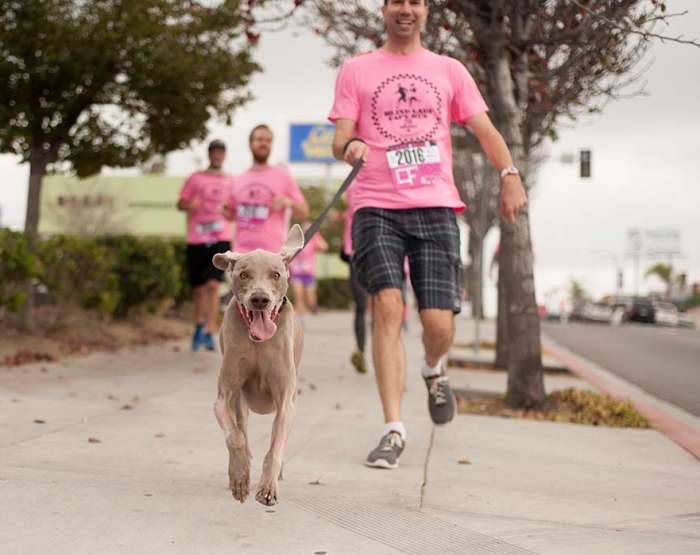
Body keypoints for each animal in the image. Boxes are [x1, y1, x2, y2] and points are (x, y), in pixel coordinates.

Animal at [211, 224, 304, 506]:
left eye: (275, 274)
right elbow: (235, 437)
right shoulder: (224, 397)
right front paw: (240, 477)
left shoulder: (285, 400)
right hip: (240, 402)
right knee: (242, 429)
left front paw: (268, 488)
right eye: (243, 274)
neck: (258, 343)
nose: (260, 299)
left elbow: (274, 448)